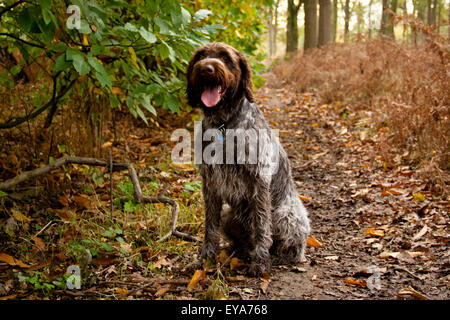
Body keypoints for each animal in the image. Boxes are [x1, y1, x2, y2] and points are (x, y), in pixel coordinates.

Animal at [185, 43, 310, 278]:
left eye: (226, 58)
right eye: (200, 56)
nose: (206, 68)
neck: (224, 124)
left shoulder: (258, 179)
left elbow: (261, 225)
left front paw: (260, 263)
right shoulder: (210, 183)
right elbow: (210, 226)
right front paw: (206, 260)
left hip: (286, 214)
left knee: (290, 242)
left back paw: (283, 255)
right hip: (229, 215)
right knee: (243, 241)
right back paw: (238, 251)